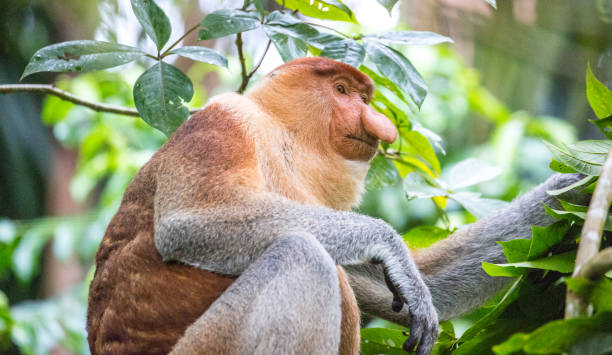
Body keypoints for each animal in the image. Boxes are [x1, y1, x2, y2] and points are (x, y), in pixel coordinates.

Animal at [85, 57, 580, 355]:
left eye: (363, 97)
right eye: (340, 90)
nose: (378, 122)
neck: (285, 137)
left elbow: (419, 288)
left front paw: (575, 186)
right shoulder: (225, 121)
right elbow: (187, 222)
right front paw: (389, 246)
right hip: (207, 346)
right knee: (301, 255)